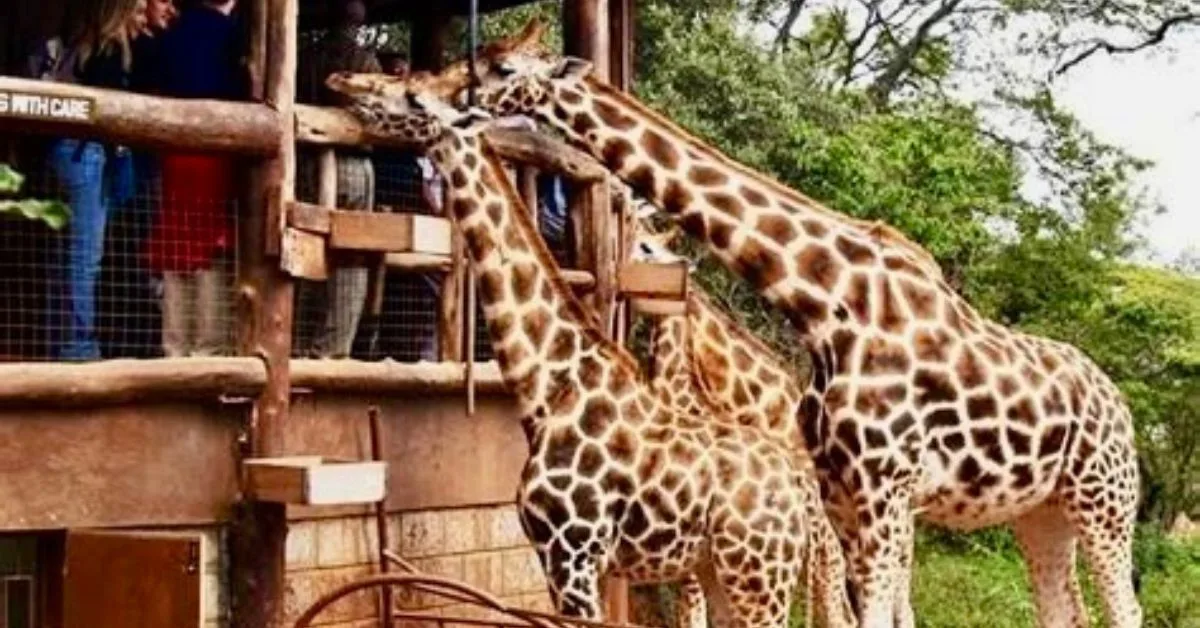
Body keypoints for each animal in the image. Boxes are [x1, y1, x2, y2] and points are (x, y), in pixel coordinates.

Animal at [325, 77, 818, 628]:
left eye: (412, 95)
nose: (343, 84)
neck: (550, 385)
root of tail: (797, 490)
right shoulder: (569, 560)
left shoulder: (572, 554)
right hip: (721, 570)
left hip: (758, 573)